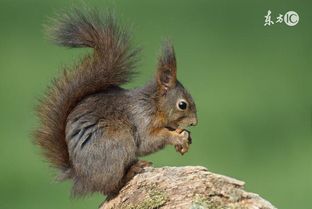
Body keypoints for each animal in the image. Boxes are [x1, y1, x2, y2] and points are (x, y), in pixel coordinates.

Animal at [34, 8, 197, 198]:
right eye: (182, 105)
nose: (195, 123)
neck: (153, 104)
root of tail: (81, 178)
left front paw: (186, 135)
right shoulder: (141, 119)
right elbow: (149, 141)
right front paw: (175, 137)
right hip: (116, 146)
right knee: (111, 186)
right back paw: (132, 171)